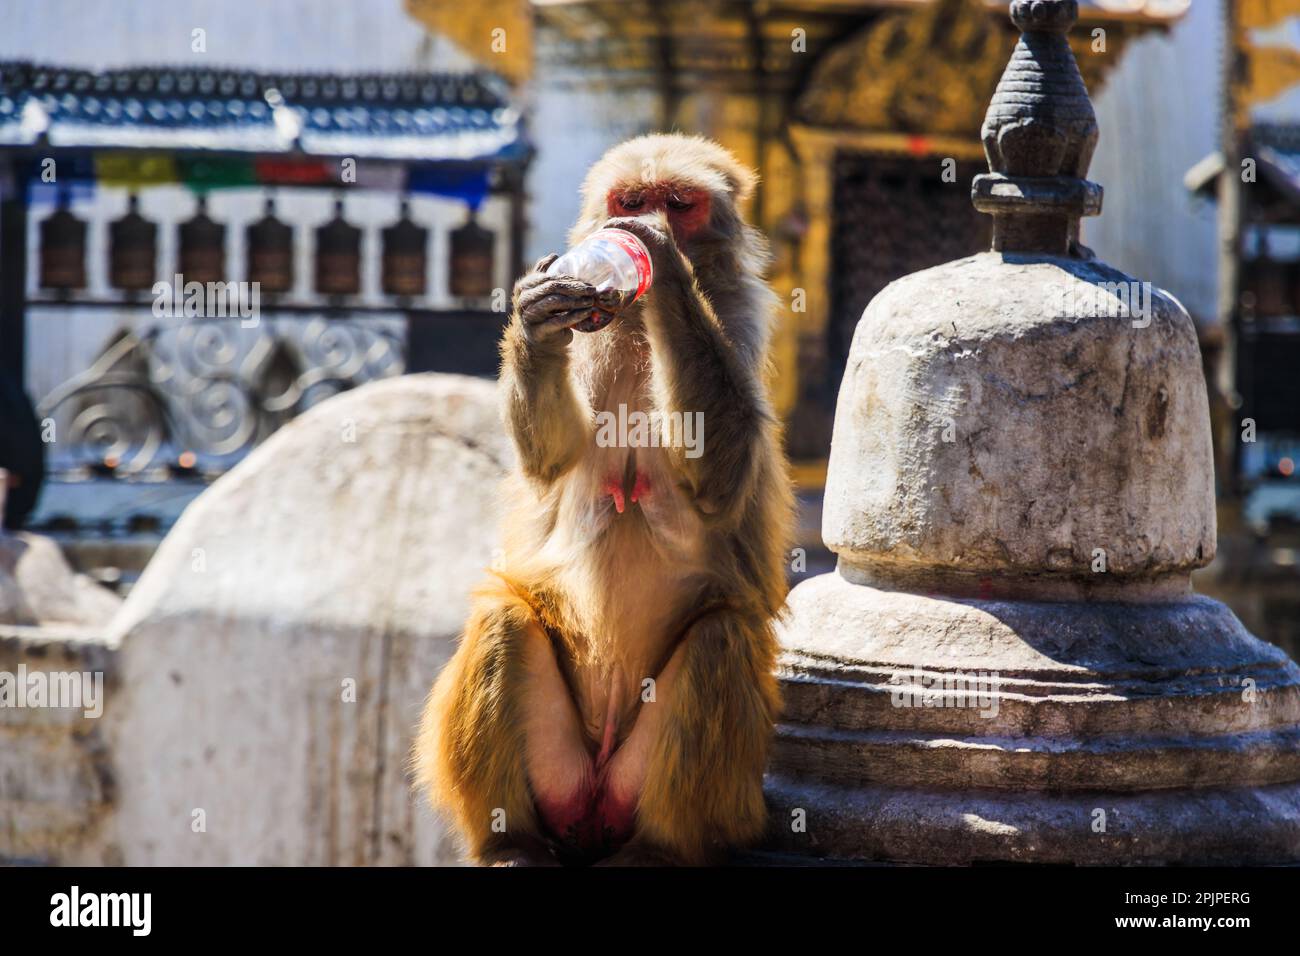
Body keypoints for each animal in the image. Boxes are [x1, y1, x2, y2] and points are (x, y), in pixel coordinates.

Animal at [414, 133, 794, 866]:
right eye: (633, 199)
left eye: (679, 202)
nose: (644, 223)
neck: (637, 326)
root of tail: (595, 803)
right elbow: (551, 459)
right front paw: (536, 316)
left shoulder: (744, 320)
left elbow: (722, 478)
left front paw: (663, 269)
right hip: (561, 772)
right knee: (505, 617)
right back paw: (511, 838)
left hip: (681, 792)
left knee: (720, 638)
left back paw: (662, 848)